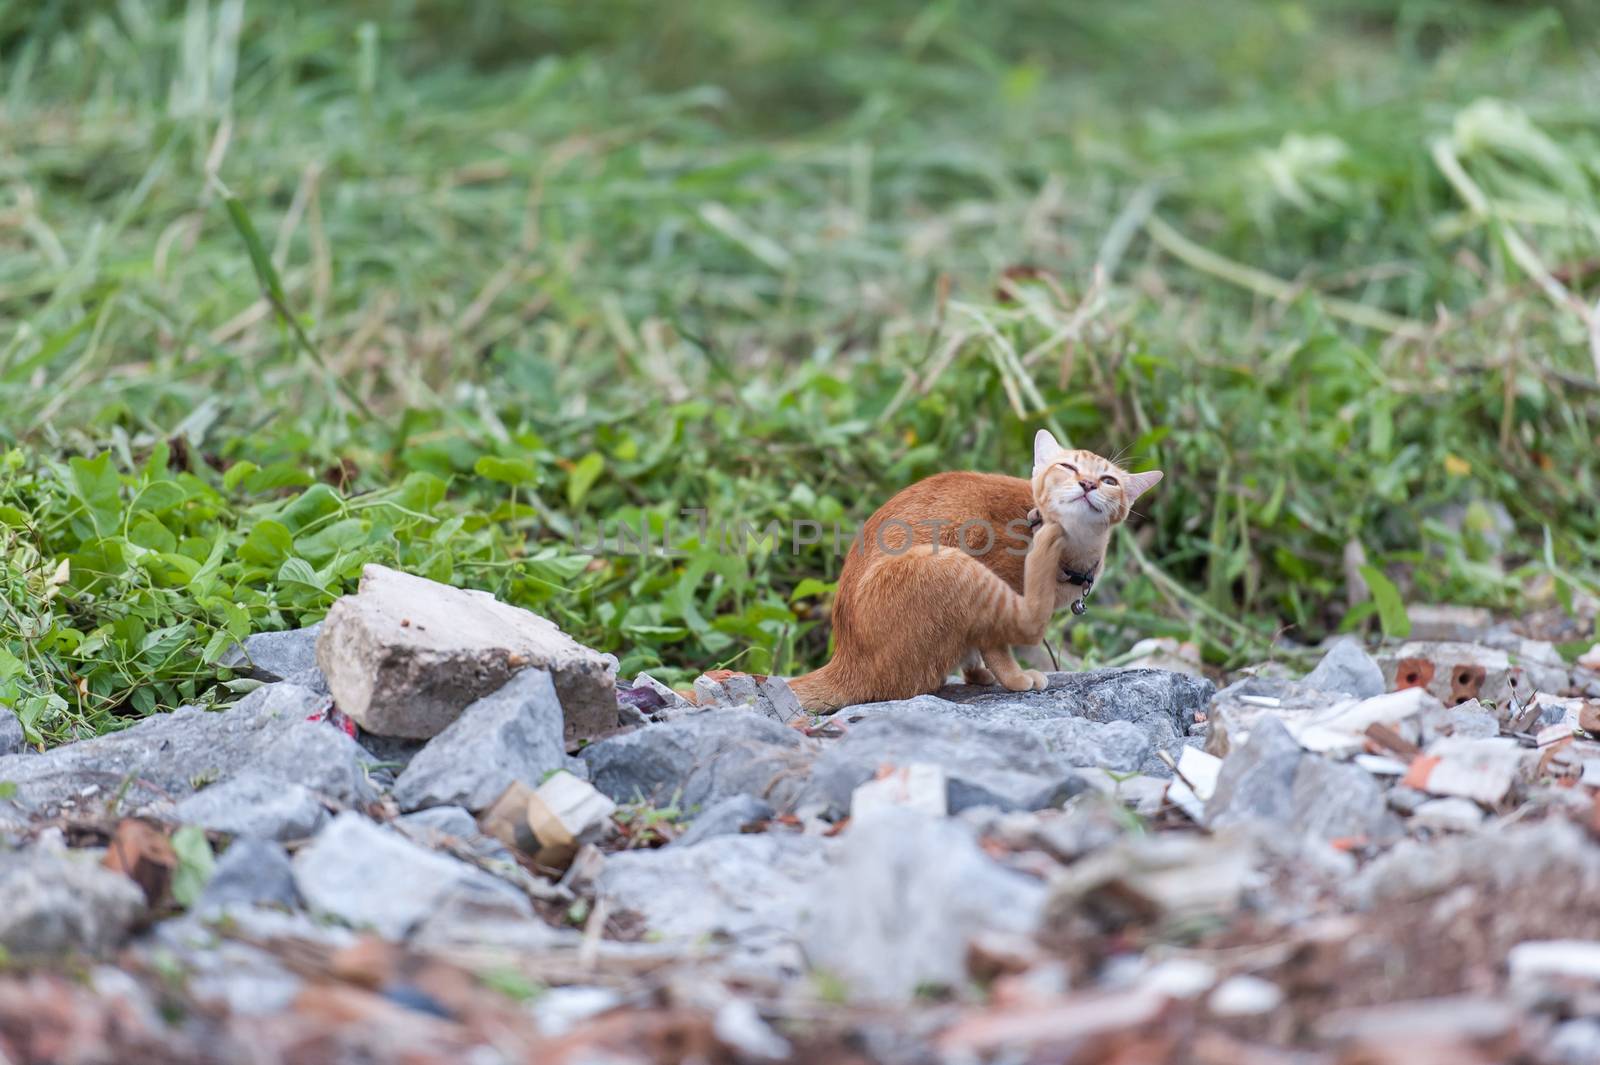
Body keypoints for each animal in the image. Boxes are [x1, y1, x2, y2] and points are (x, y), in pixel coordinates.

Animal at [790, 428, 1158, 713]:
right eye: (1068, 466)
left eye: (1108, 480)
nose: (1088, 484)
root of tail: (846, 659)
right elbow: (998, 647)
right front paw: (1014, 677)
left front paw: (978, 673)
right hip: (954, 565)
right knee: (1028, 623)